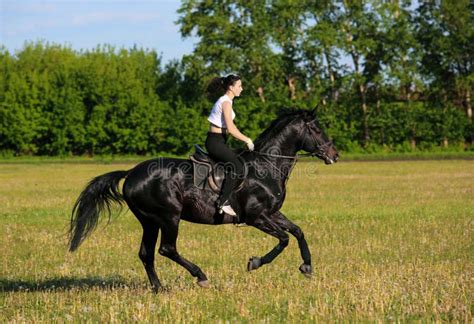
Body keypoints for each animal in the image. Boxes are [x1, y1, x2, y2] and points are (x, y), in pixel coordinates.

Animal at [68, 108, 338, 292]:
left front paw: (307, 266)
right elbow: (283, 239)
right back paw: (200, 276)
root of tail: (131, 173)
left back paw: (159, 288)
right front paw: (255, 262)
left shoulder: (272, 213)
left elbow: (298, 232)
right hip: (168, 217)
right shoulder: (256, 217)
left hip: (150, 221)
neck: (267, 165)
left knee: (147, 254)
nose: (334, 155)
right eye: (316, 130)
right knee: (167, 249)